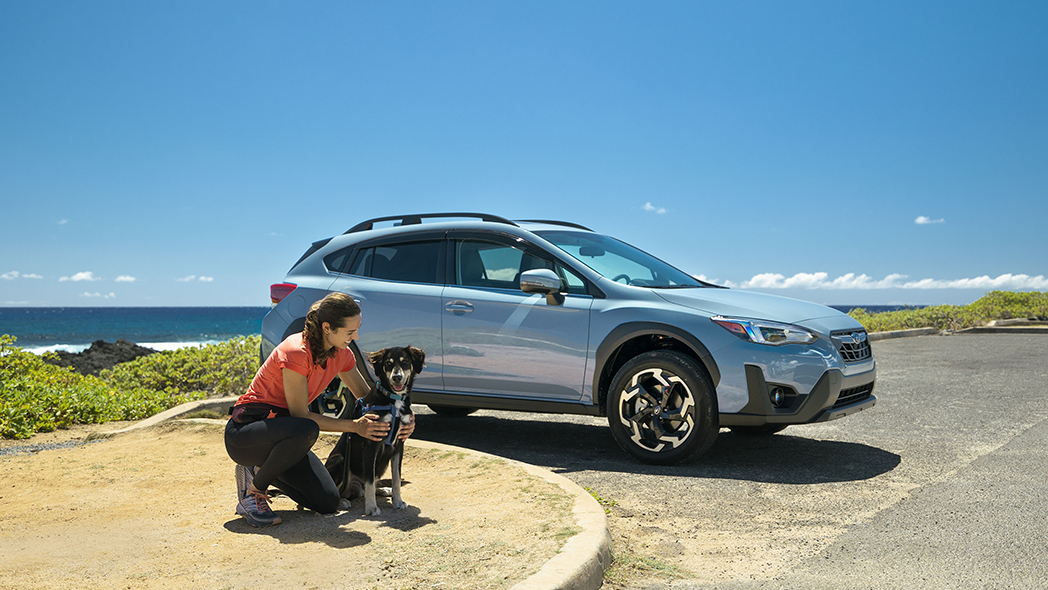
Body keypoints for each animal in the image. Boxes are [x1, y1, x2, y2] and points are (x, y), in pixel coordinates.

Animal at [326, 345, 425, 517]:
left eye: (405, 362)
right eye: (388, 364)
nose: (397, 377)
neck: (394, 401)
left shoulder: (398, 445)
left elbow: (396, 478)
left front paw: (398, 501)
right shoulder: (372, 444)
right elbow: (370, 481)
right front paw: (371, 507)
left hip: (380, 465)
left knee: (363, 488)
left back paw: (384, 490)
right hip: (340, 460)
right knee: (341, 491)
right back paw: (342, 502)